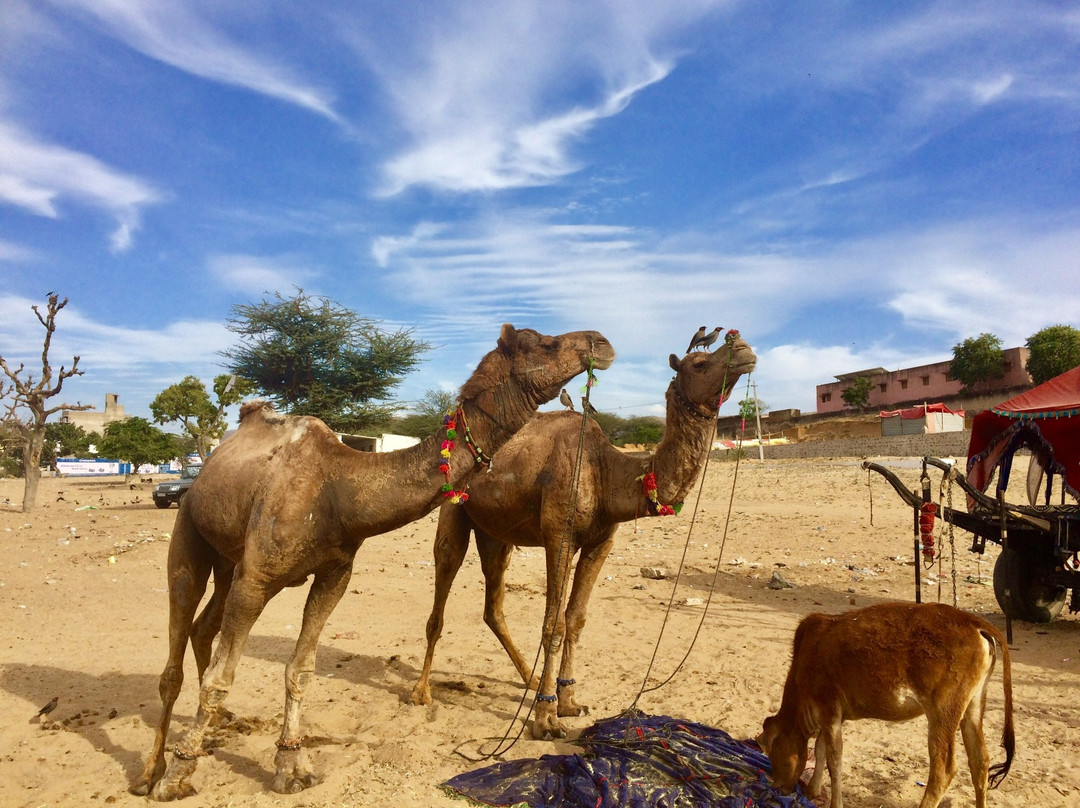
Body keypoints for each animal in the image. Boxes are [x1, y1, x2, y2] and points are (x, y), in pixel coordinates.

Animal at [131, 324, 614, 800]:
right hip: (191, 535)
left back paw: (217, 726)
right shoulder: (257, 579)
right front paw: (179, 774)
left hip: (229, 559)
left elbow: (300, 670)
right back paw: (151, 771)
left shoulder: (334, 575)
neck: (339, 489)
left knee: (203, 627)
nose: (602, 343)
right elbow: (221, 678)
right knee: (176, 645)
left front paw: (292, 766)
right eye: (546, 343)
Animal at [409, 331, 756, 739]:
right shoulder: (559, 535)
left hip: (497, 534)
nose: (743, 348)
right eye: (699, 364)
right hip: (454, 509)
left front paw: (569, 701)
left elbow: (576, 619)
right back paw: (421, 692)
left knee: (494, 606)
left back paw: (528, 679)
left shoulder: (601, 542)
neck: (605, 469)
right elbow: (553, 624)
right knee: (442, 588)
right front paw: (545, 717)